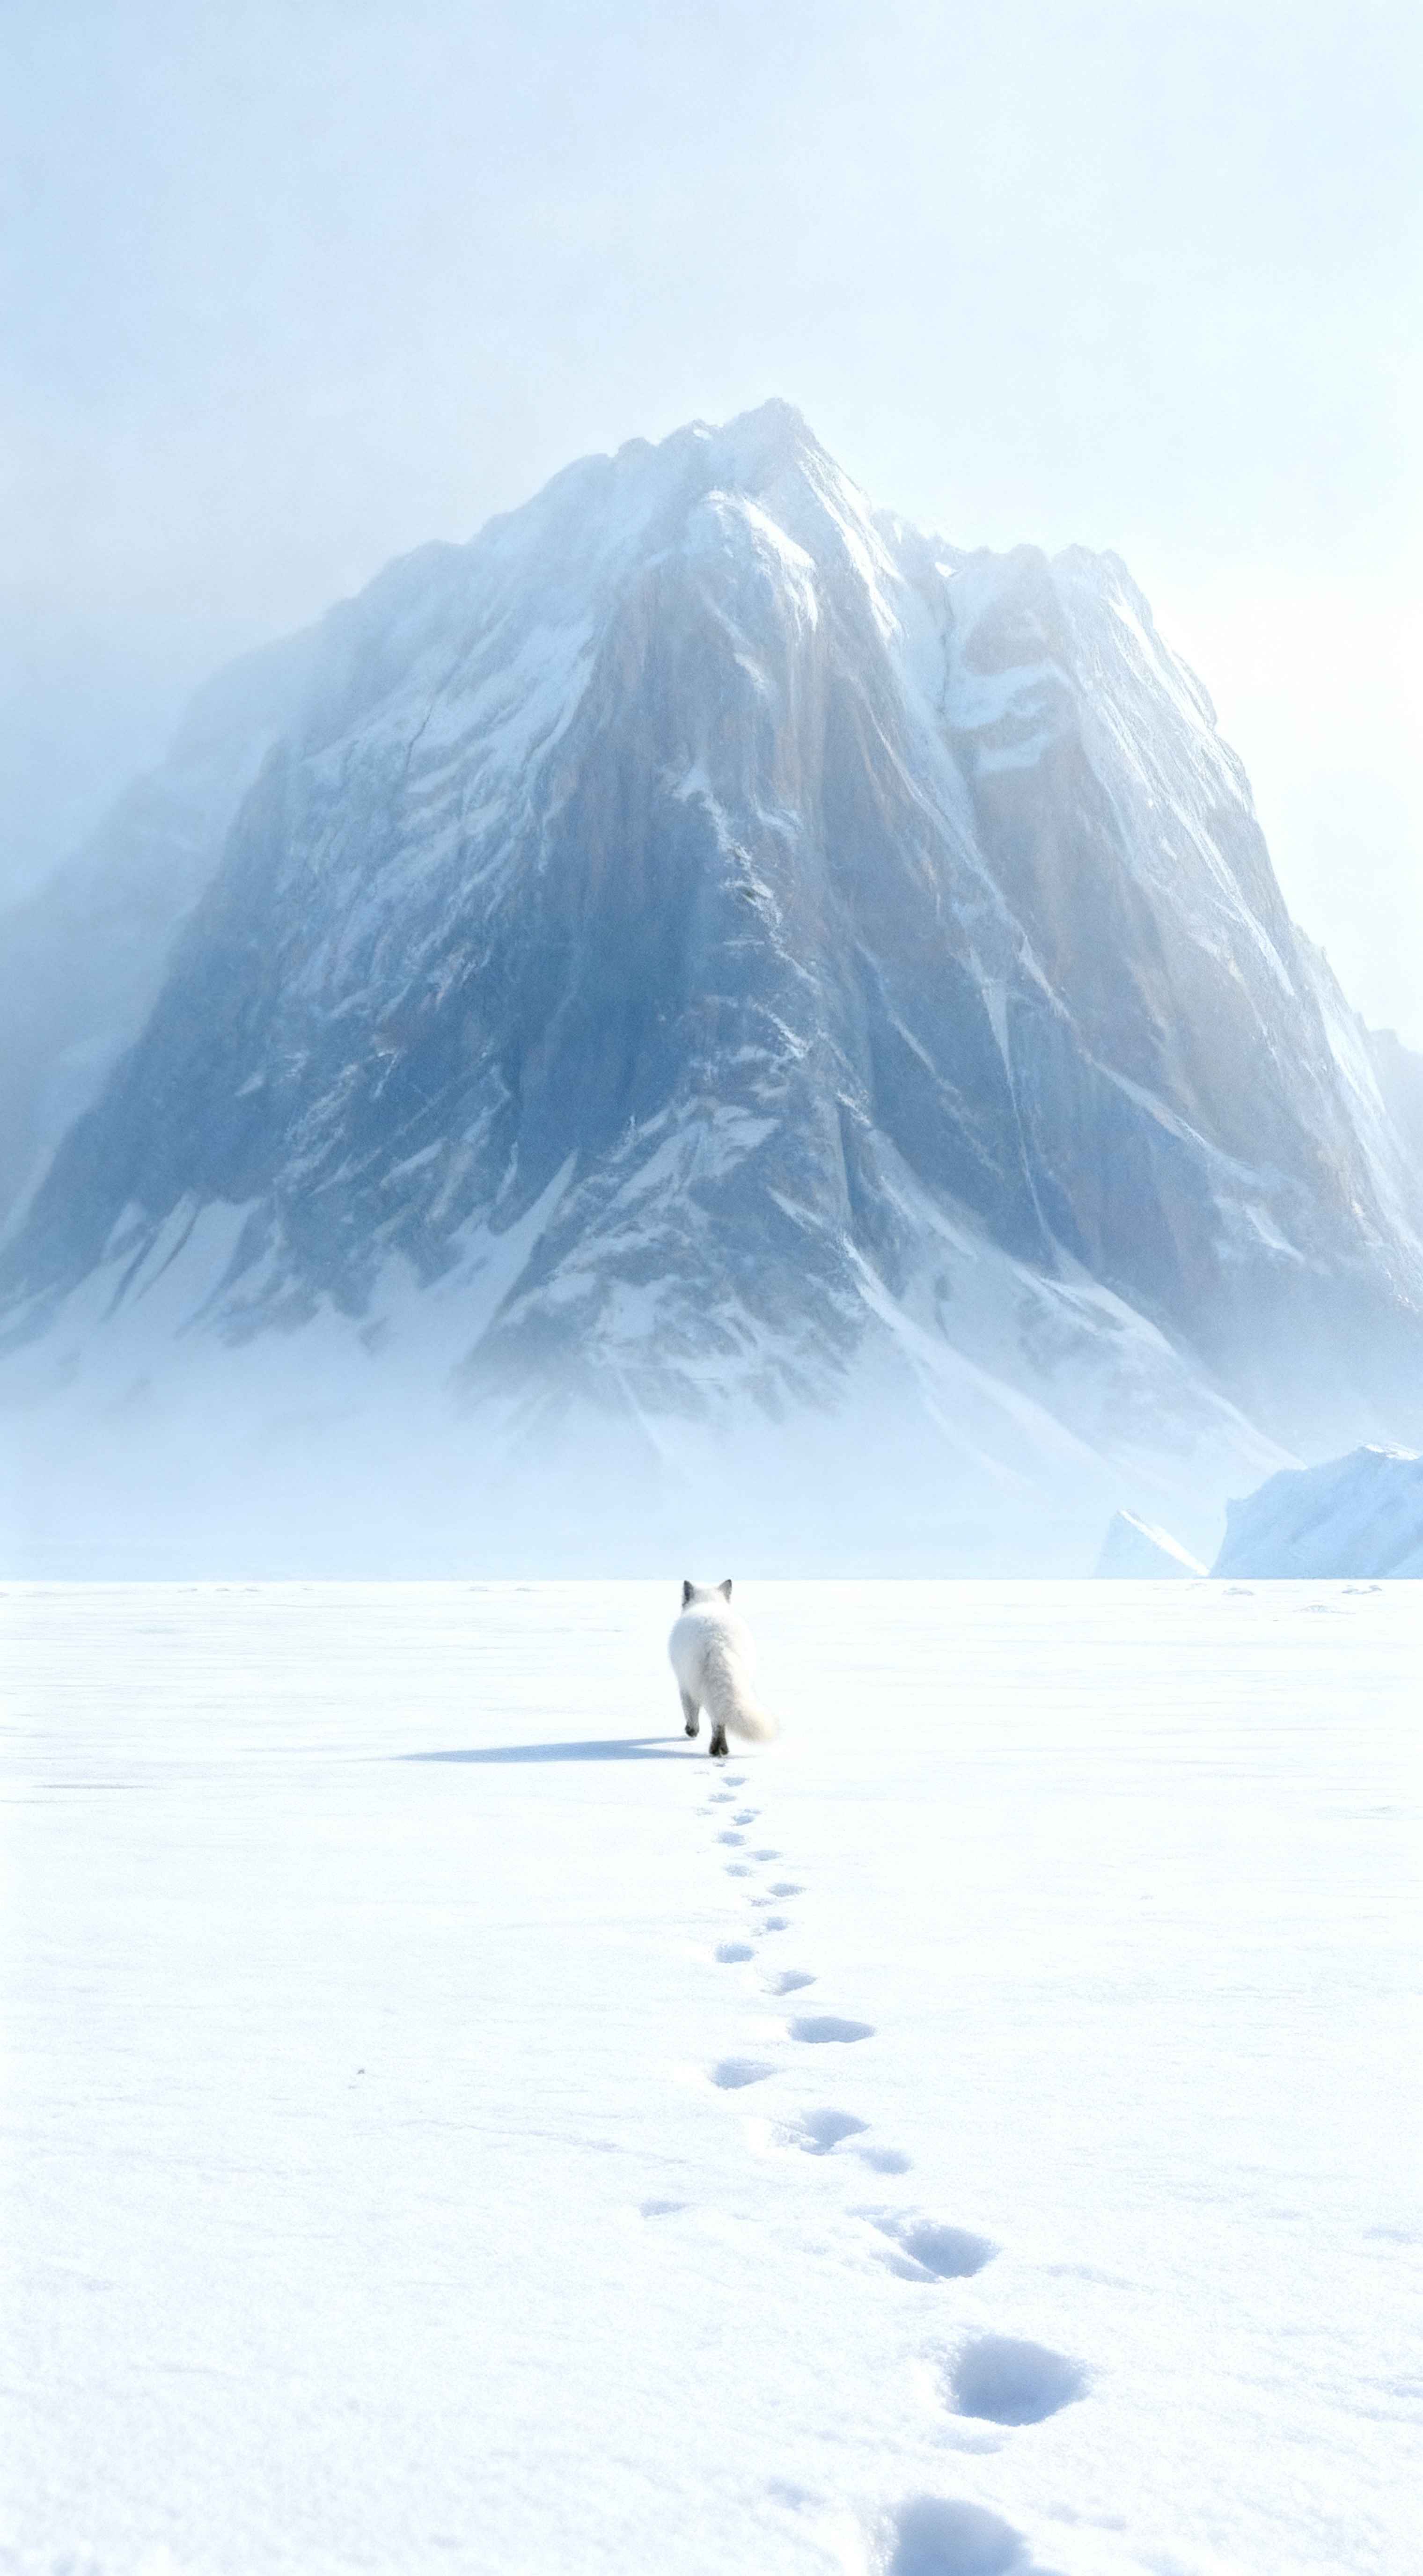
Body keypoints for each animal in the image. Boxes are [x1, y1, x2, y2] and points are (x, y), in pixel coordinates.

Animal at [669, 1578, 778, 1758]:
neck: (708, 1601)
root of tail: (718, 1640)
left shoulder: (683, 1684)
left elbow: (690, 1710)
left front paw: (692, 1731)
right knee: (720, 1716)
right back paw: (722, 1750)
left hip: (697, 1683)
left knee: (714, 1718)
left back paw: (715, 1749)